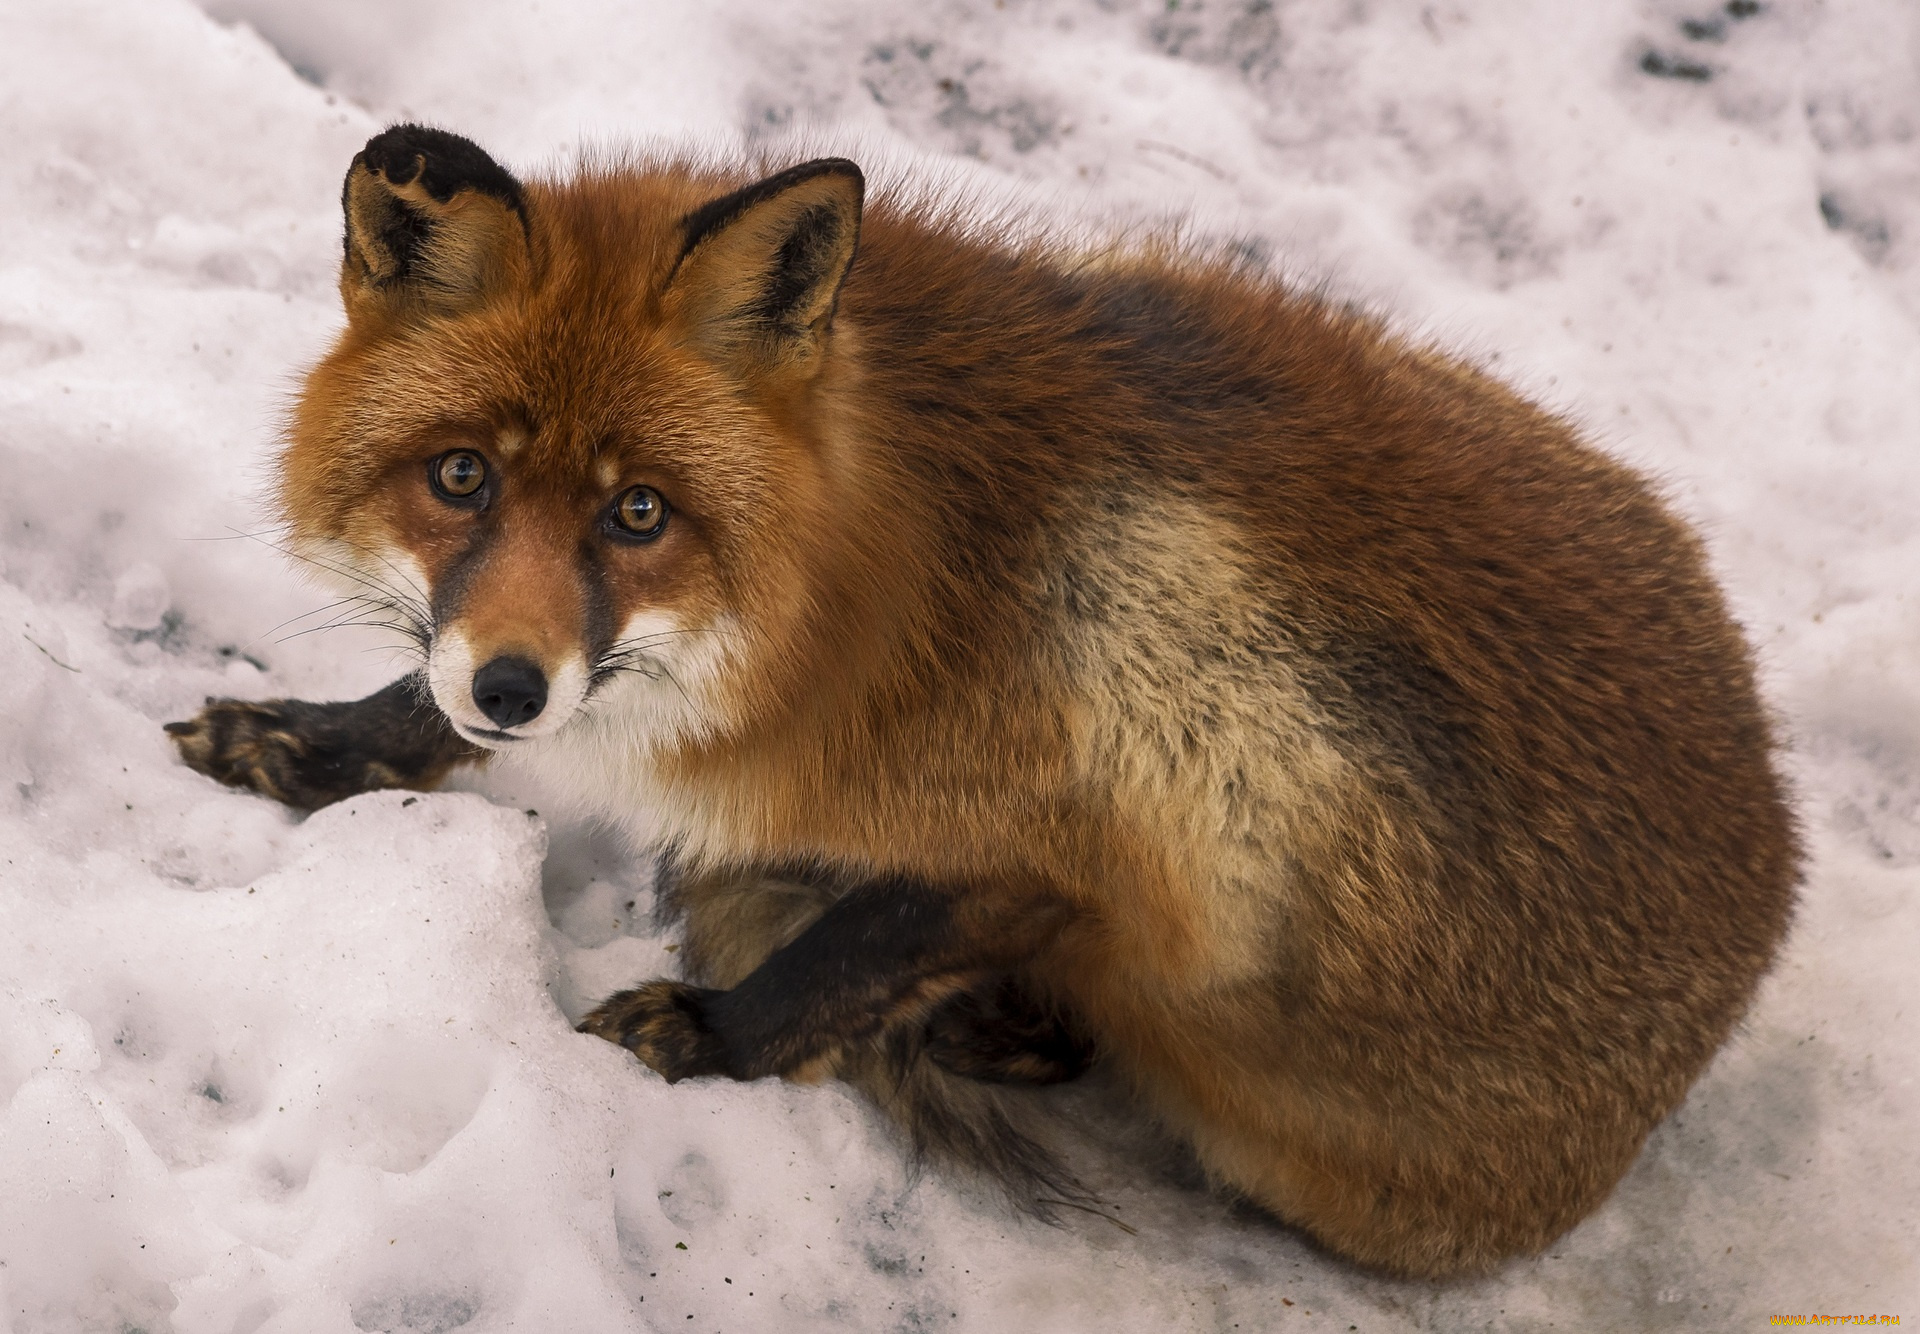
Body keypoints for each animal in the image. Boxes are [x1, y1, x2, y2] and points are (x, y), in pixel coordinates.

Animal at [168, 127, 1797, 1282]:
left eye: (640, 514)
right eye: (462, 478)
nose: (512, 685)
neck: (881, 581)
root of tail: (1779, 840)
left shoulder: (1108, 846)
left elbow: (842, 957)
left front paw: (708, 1035)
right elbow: (423, 702)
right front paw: (316, 741)